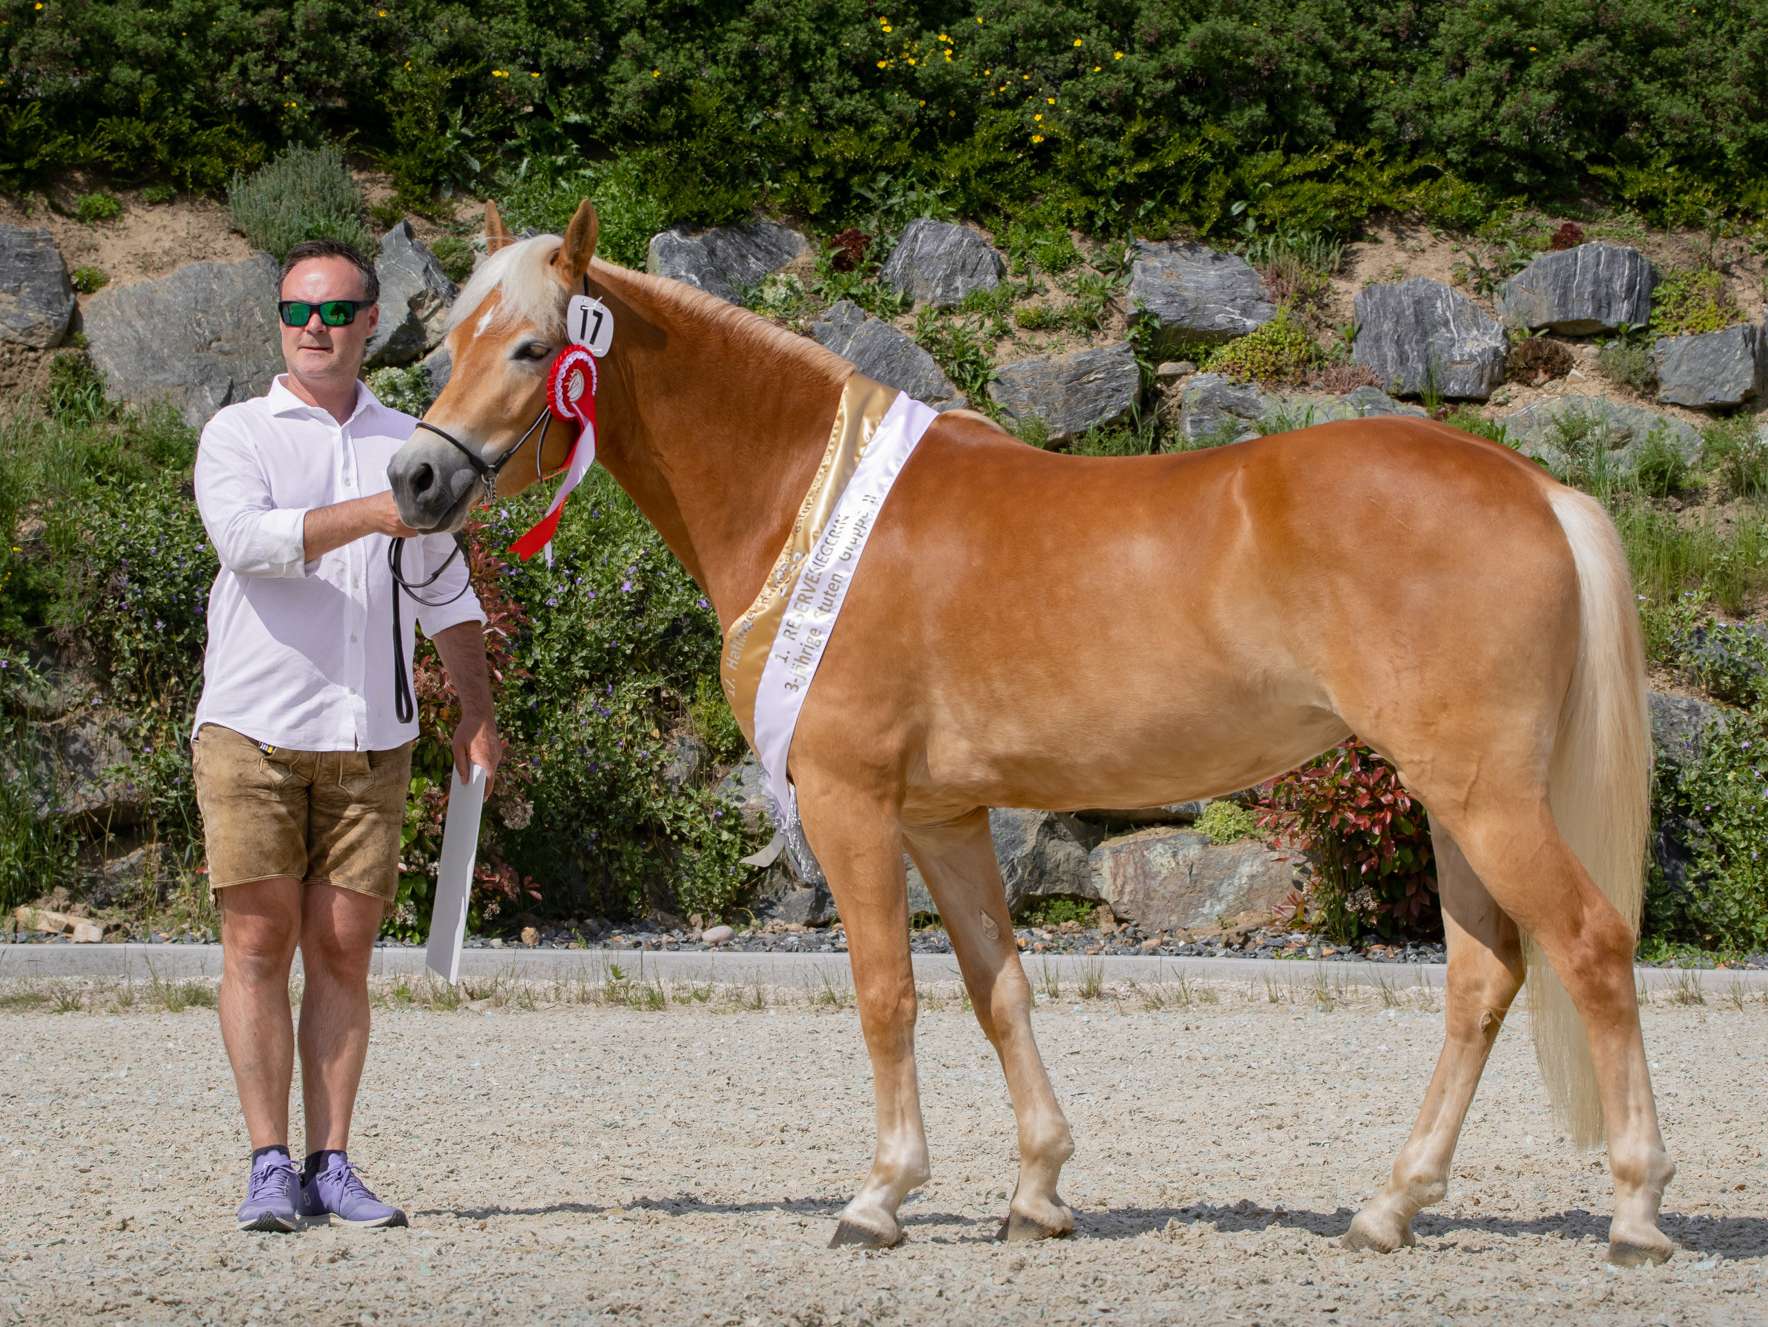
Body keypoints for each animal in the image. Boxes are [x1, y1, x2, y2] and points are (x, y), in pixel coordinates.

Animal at [387, 202, 1668, 1272]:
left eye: (530, 348)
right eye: (452, 341)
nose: (415, 476)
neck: (818, 500)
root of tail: (1539, 490)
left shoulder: (851, 800)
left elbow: (886, 992)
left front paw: (879, 1196)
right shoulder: (944, 817)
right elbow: (996, 988)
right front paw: (1037, 1192)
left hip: (1483, 795)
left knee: (1591, 946)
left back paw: (1635, 1209)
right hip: (1450, 798)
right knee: (1483, 977)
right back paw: (1389, 1207)